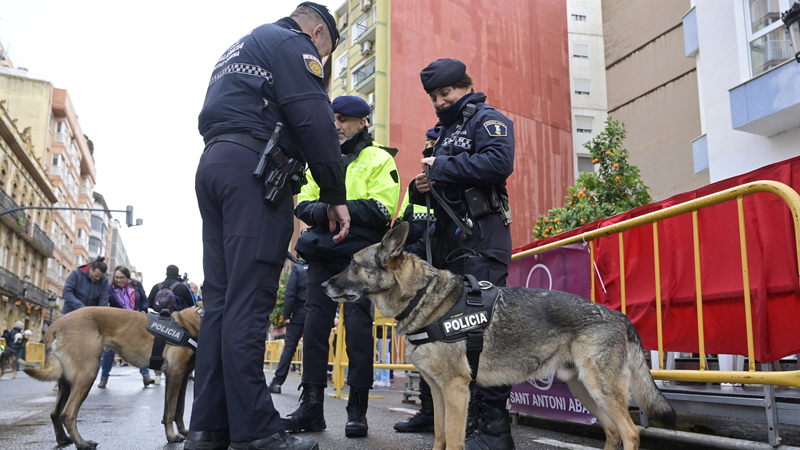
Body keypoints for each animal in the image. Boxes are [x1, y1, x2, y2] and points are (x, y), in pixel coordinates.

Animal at [24, 304, 202, 448]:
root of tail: (55, 325)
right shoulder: (175, 374)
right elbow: (170, 410)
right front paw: (171, 436)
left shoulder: (183, 377)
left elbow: (180, 409)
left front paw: (184, 431)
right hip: (87, 374)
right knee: (67, 414)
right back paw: (82, 444)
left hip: (67, 381)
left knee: (55, 412)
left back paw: (63, 440)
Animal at [324, 224, 676, 450]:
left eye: (352, 264)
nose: (324, 285)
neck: (422, 295)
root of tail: (620, 317)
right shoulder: (437, 391)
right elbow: (438, 435)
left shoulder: (455, 389)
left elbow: (453, 439)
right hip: (584, 389)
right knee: (613, 433)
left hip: (599, 387)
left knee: (629, 434)